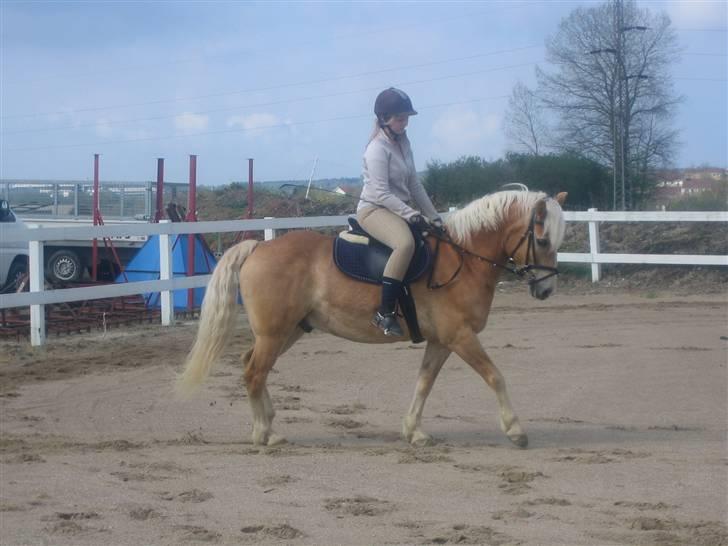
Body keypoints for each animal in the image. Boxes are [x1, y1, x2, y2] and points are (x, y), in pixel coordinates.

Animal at [178, 188, 568, 446]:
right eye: (543, 240)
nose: (546, 290)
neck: (464, 258)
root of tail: (259, 246)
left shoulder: (442, 340)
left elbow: (424, 382)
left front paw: (413, 430)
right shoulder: (460, 336)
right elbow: (495, 376)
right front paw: (515, 429)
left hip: (288, 332)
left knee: (252, 367)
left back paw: (267, 424)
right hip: (275, 334)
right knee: (254, 372)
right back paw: (265, 434)